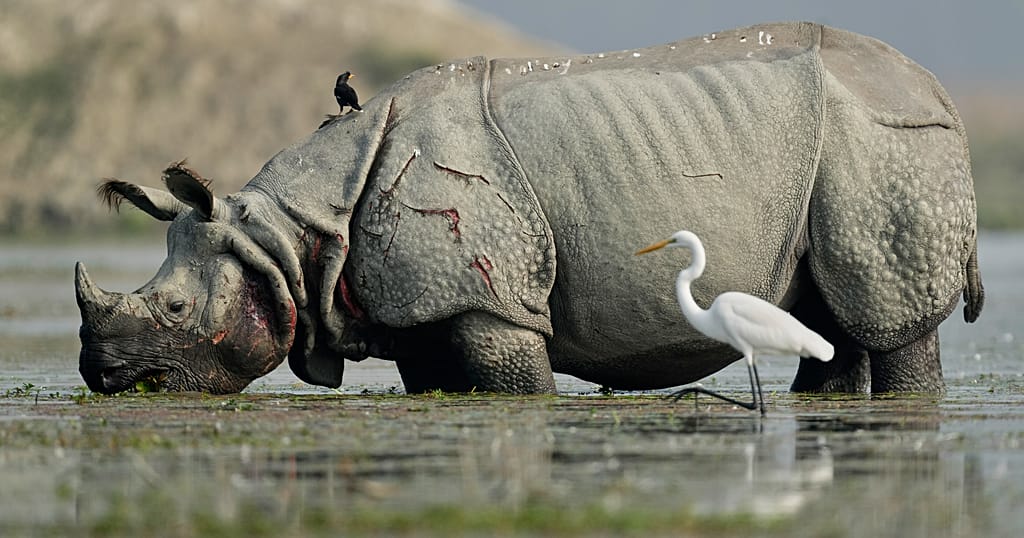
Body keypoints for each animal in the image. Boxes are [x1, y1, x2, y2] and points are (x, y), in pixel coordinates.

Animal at [76, 22, 983, 396]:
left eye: (175, 308)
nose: (102, 377)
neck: (288, 233)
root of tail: (938, 88)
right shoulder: (420, 303)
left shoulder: (488, 299)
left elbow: (514, 387)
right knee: (833, 319)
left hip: (887, 147)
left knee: (890, 321)